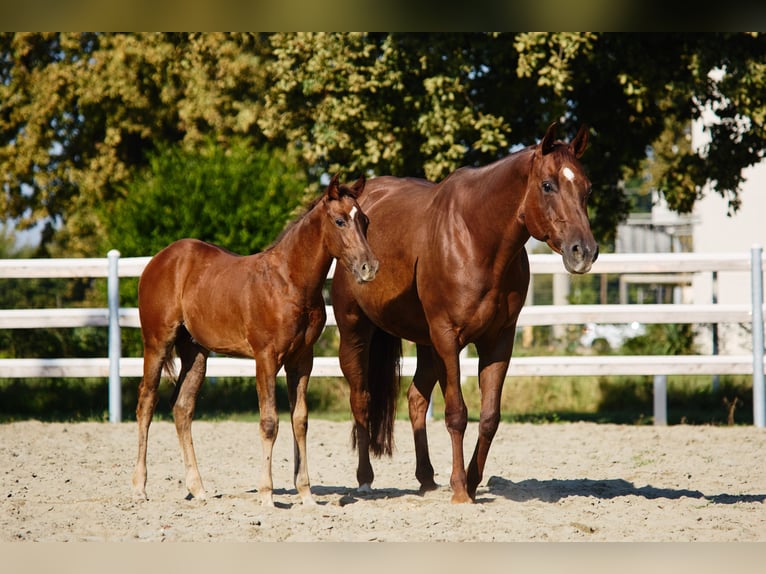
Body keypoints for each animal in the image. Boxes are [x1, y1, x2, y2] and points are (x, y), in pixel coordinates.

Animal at [131, 174, 379, 507]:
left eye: (364, 221)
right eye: (340, 221)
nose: (369, 267)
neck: (290, 282)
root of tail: (159, 261)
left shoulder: (303, 359)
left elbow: (300, 420)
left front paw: (306, 494)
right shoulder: (266, 358)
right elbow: (269, 421)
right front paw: (266, 494)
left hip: (195, 352)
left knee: (182, 407)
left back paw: (199, 488)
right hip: (157, 342)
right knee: (146, 401)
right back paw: (139, 487)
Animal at [331, 123, 598, 503]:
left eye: (587, 189)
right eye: (548, 185)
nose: (584, 251)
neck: (476, 237)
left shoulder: (498, 342)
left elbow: (489, 417)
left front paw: (471, 481)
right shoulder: (448, 338)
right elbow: (457, 413)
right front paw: (460, 489)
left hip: (425, 343)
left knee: (416, 399)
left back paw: (426, 479)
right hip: (356, 332)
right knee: (362, 400)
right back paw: (365, 479)